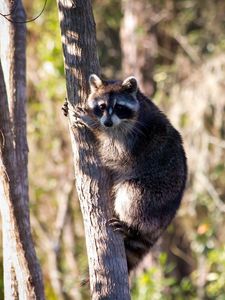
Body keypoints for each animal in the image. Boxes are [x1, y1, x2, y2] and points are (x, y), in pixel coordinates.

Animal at [67, 74, 187, 272]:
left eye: (119, 107)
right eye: (101, 107)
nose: (107, 123)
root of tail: (167, 219)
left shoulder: (134, 136)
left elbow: (115, 152)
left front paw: (93, 124)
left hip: (156, 196)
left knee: (132, 195)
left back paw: (130, 225)